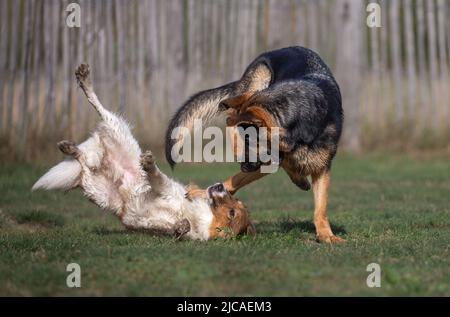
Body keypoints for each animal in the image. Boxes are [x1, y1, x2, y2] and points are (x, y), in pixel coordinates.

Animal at [166, 46, 344, 242]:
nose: (243, 166)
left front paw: (326, 235)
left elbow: (321, 207)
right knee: (230, 117)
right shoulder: (268, 160)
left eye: (249, 141)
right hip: (257, 82)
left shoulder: (321, 166)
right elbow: (236, 180)